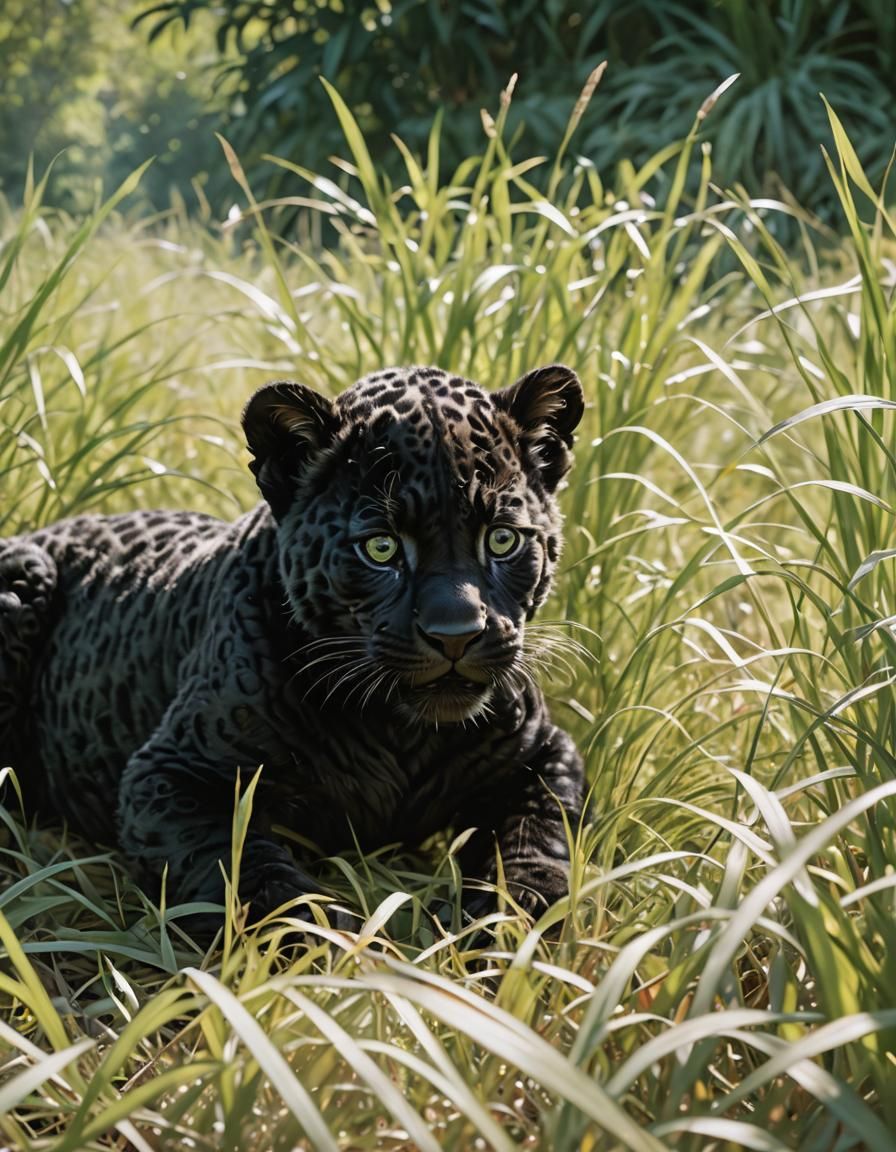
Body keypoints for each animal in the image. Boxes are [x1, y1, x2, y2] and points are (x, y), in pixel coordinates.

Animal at [0, 364, 585, 935]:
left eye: (503, 539)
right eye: (381, 547)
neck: (400, 733)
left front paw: (504, 922)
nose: (456, 633)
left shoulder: (544, 755)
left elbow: (541, 842)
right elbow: (256, 881)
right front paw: (337, 944)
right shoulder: (170, 773)